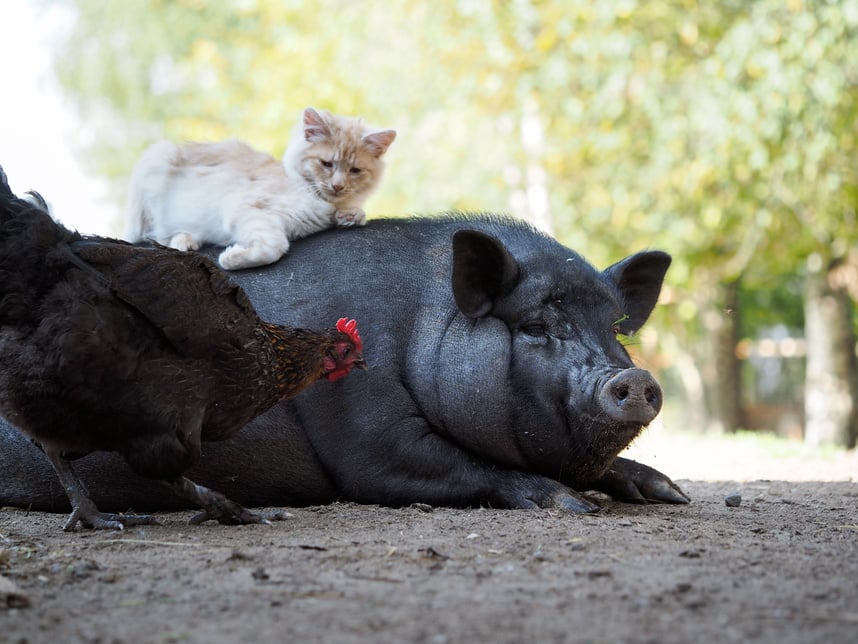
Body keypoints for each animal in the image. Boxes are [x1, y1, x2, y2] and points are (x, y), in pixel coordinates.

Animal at [0, 215, 688, 512]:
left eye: (616, 329)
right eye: (537, 326)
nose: (634, 377)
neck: (416, 323)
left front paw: (668, 492)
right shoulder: (367, 432)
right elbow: (448, 464)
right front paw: (573, 504)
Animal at [123, 108, 394, 270]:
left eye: (354, 171)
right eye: (326, 164)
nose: (337, 185)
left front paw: (351, 216)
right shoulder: (245, 208)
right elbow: (275, 247)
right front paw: (231, 258)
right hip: (156, 165)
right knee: (153, 236)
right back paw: (184, 241)